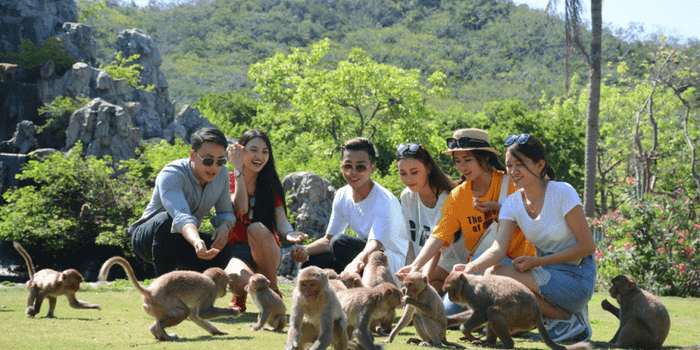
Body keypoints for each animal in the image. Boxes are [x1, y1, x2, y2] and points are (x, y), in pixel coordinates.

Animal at [98, 256, 241, 340]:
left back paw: (156, 331)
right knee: (183, 311)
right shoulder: (209, 290)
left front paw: (217, 332)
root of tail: (150, 291)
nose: (226, 291)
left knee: (182, 313)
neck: (209, 280)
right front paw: (233, 311)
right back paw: (162, 331)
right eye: (226, 283)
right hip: (163, 302)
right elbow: (202, 313)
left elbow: (195, 316)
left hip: (152, 306)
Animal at [442, 270, 592, 350]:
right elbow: (473, 313)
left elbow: (482, 312)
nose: (449, 296)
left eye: (450, 290)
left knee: (493, 311)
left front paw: (465, 330)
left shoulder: (474, 293)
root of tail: (537, 311)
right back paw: (488, 342)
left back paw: (505, 345)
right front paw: (448, 320)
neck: (466, 284)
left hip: (522, 314)